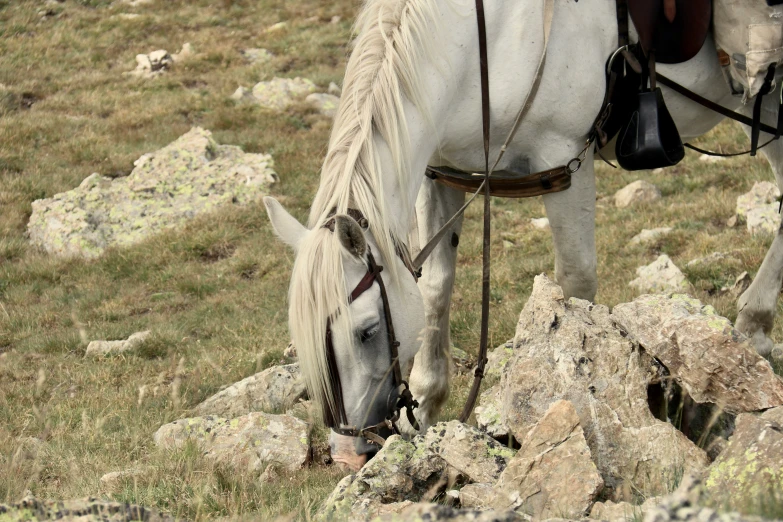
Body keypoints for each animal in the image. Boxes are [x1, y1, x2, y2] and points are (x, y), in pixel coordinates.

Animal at [266, 0, 783, 468]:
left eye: (367, 330)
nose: (349, 454)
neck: (484, 44)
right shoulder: (441, 173)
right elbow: (434, 287)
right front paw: (427, 409)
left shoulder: (562, 164)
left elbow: (575, 285)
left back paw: (752, 327)